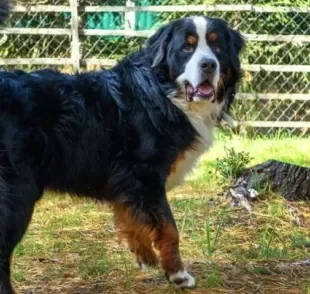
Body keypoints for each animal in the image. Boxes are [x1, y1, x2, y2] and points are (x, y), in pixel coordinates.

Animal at [0, 1, 246, 292]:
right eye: (187, 48)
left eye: (217, 46)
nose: (208, 64)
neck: (163, 92)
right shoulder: (146, 174)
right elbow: (169, 229)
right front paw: (177, 274)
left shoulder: (127, 181)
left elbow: (131, 217)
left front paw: (144, 254)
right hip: (18, 193)